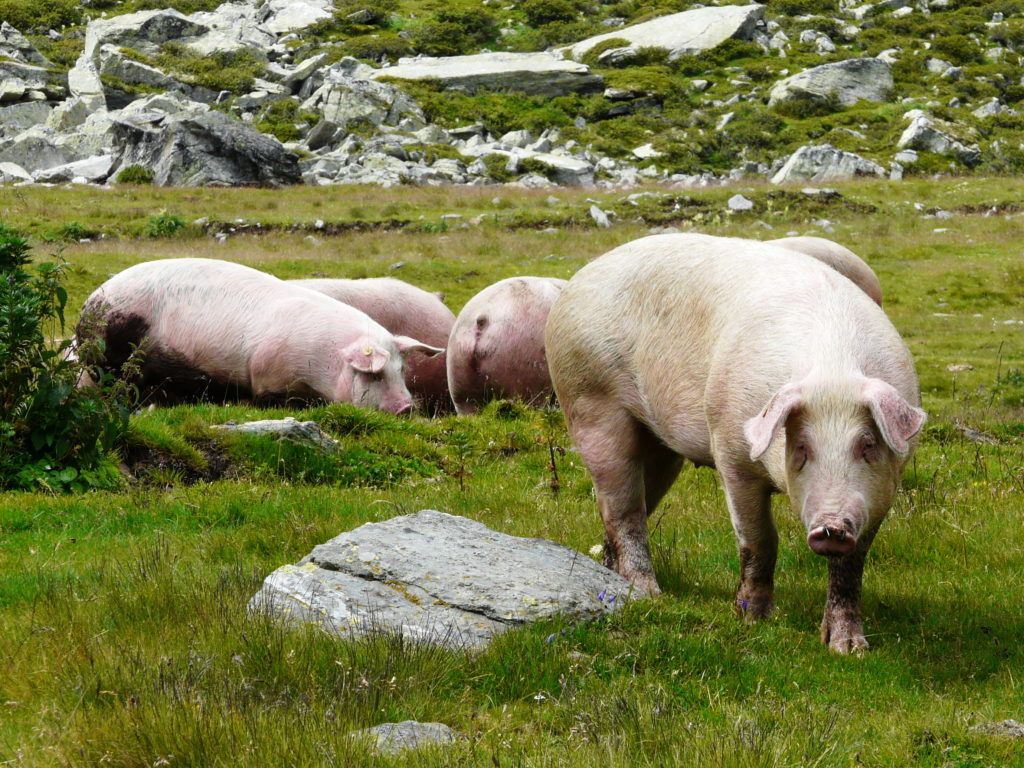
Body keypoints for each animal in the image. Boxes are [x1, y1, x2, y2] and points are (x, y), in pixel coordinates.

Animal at [548, 234, 925, 655]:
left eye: (867, 445)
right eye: (801, 448)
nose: (831, 528)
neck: (832, 368)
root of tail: (579, 277)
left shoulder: (885, 488)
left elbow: (851, 566)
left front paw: (848, 648)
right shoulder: (731, 451)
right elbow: (759, 540)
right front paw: (752, 619)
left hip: (659, 445)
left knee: (630, 505)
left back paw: (611, 579)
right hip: (589, 399)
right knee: (623, 509)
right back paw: (648, 594)